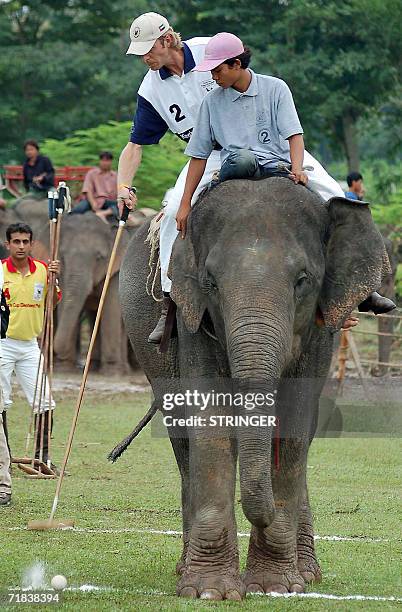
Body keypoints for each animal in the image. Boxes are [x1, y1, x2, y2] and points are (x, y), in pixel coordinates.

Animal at [110, 178, 390, 596]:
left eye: (302, 280)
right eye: (210, 282)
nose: (263, 516)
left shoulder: (320, 329)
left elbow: (294, 423)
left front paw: (275, 587)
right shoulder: (192, 316)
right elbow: (209, 419)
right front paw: (209, 591)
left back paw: (307, 572)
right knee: (182, 438)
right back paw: (186, 567)